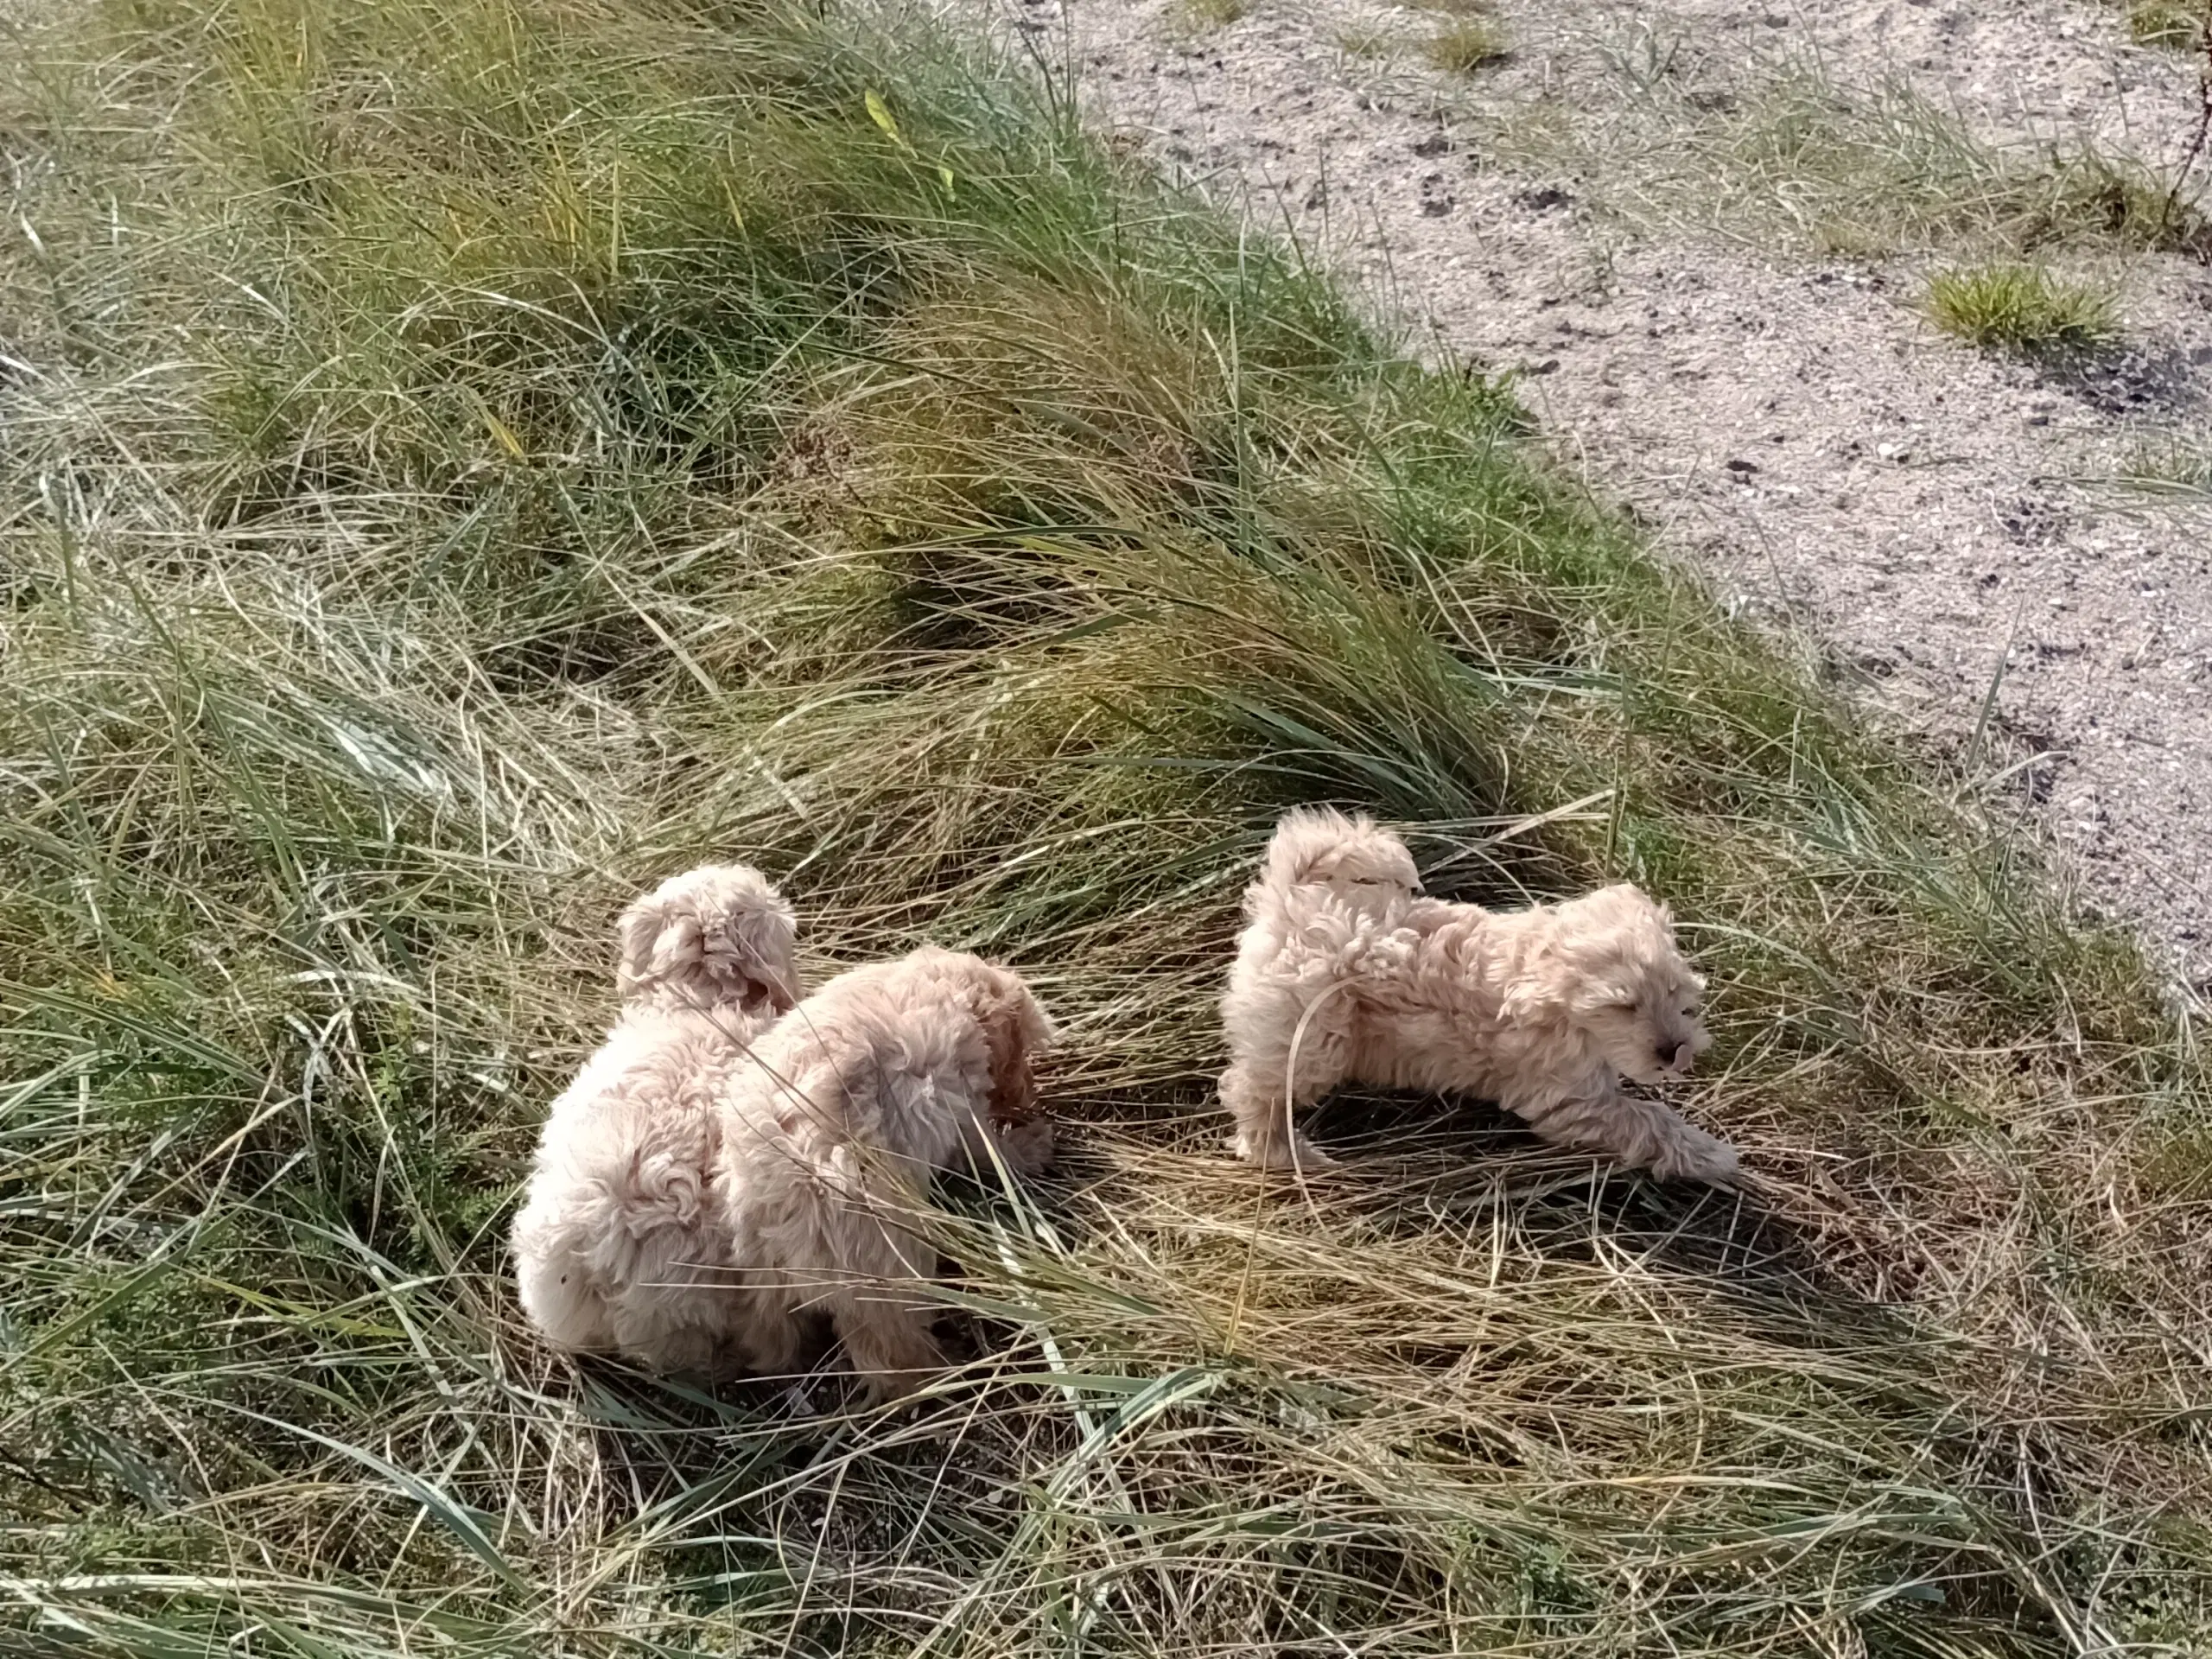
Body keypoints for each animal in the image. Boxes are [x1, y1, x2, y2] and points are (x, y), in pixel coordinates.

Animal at [1221, 809, 1734, 1185]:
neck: (1556, 998)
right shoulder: (1570, 1100)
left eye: (1673, 991)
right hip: (1309, 1040)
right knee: (1255, 1092)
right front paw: (1713, 1154)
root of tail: (1292, 898)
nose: (1674, 1051)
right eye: (1623, 1007)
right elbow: (1648, 1120)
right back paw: (1283, 1153)